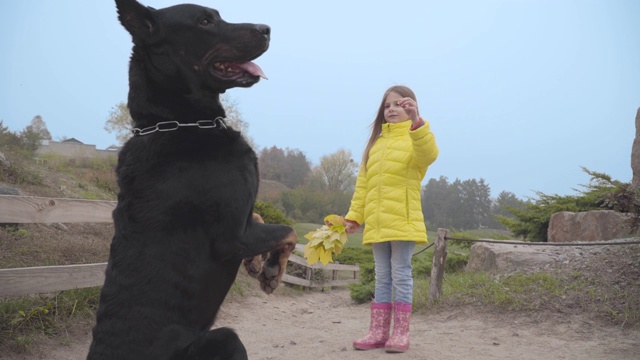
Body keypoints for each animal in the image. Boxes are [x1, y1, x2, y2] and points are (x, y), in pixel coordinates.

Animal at [87, 1, 298, 358]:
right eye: (205, 21)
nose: (266, 29)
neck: (175, 121)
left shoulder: (245, 220)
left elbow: (261, 218)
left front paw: (258, 263)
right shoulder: (232, 237)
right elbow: (288, 229)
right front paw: (272, 269)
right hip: (225, 339)